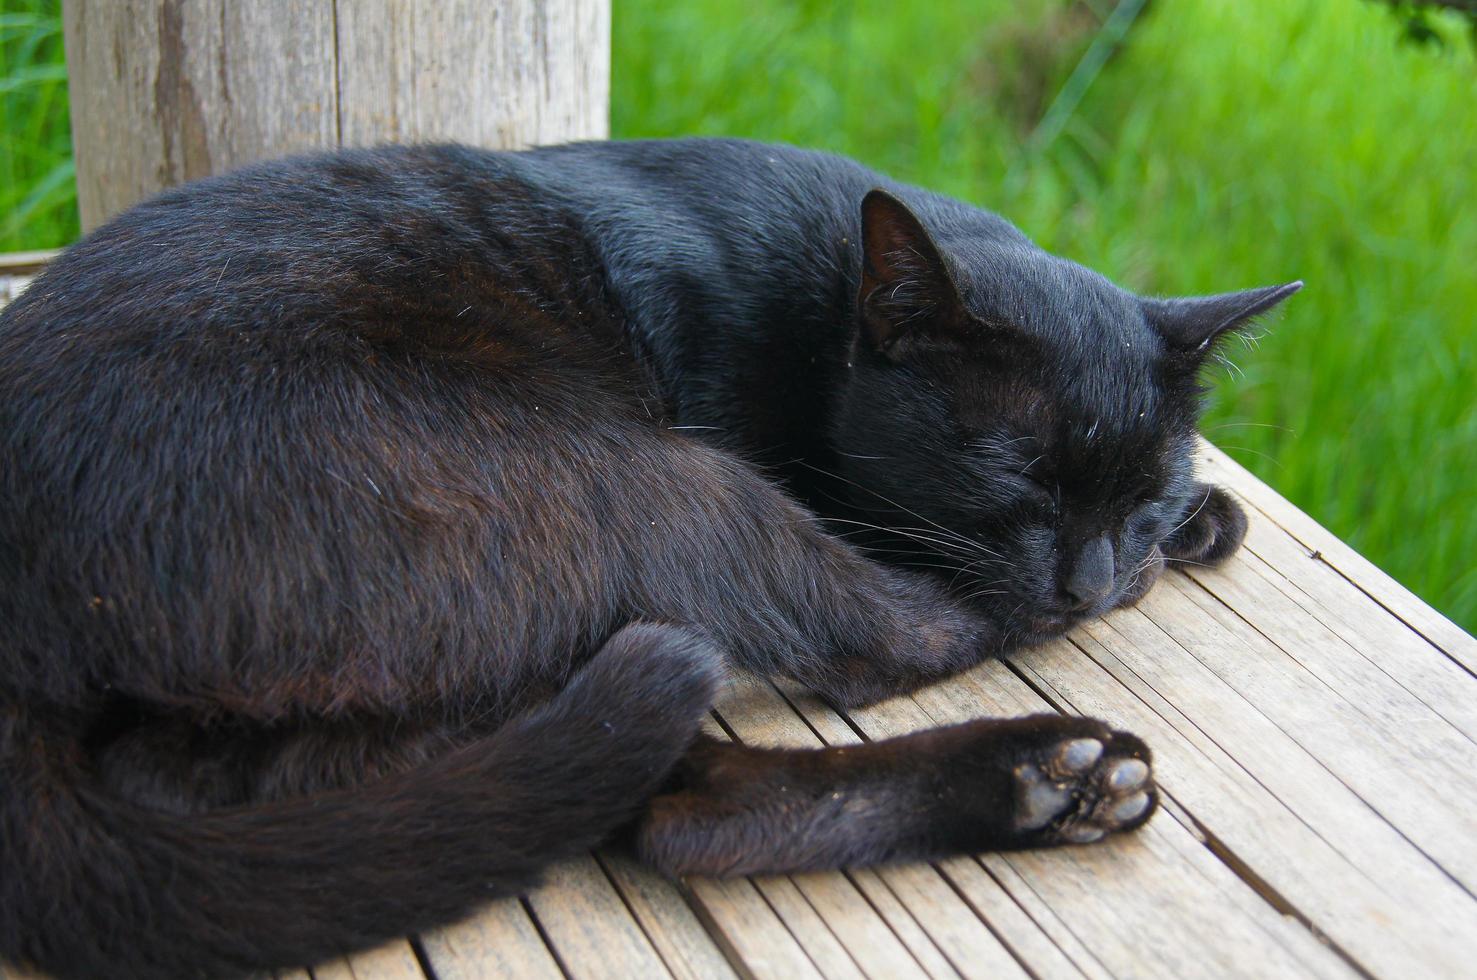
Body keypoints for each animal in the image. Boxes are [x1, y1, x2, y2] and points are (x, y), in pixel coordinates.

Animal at [0, 139, 1293, 980]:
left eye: (1140, 493)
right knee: (875, 646)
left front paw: (1200, 517)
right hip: (647, 477)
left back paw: (1050, 781)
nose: (1090, 580)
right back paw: (1042, 751)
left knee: (665, 805)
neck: (824, 301)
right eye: (1017, 476)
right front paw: (1180, 545)